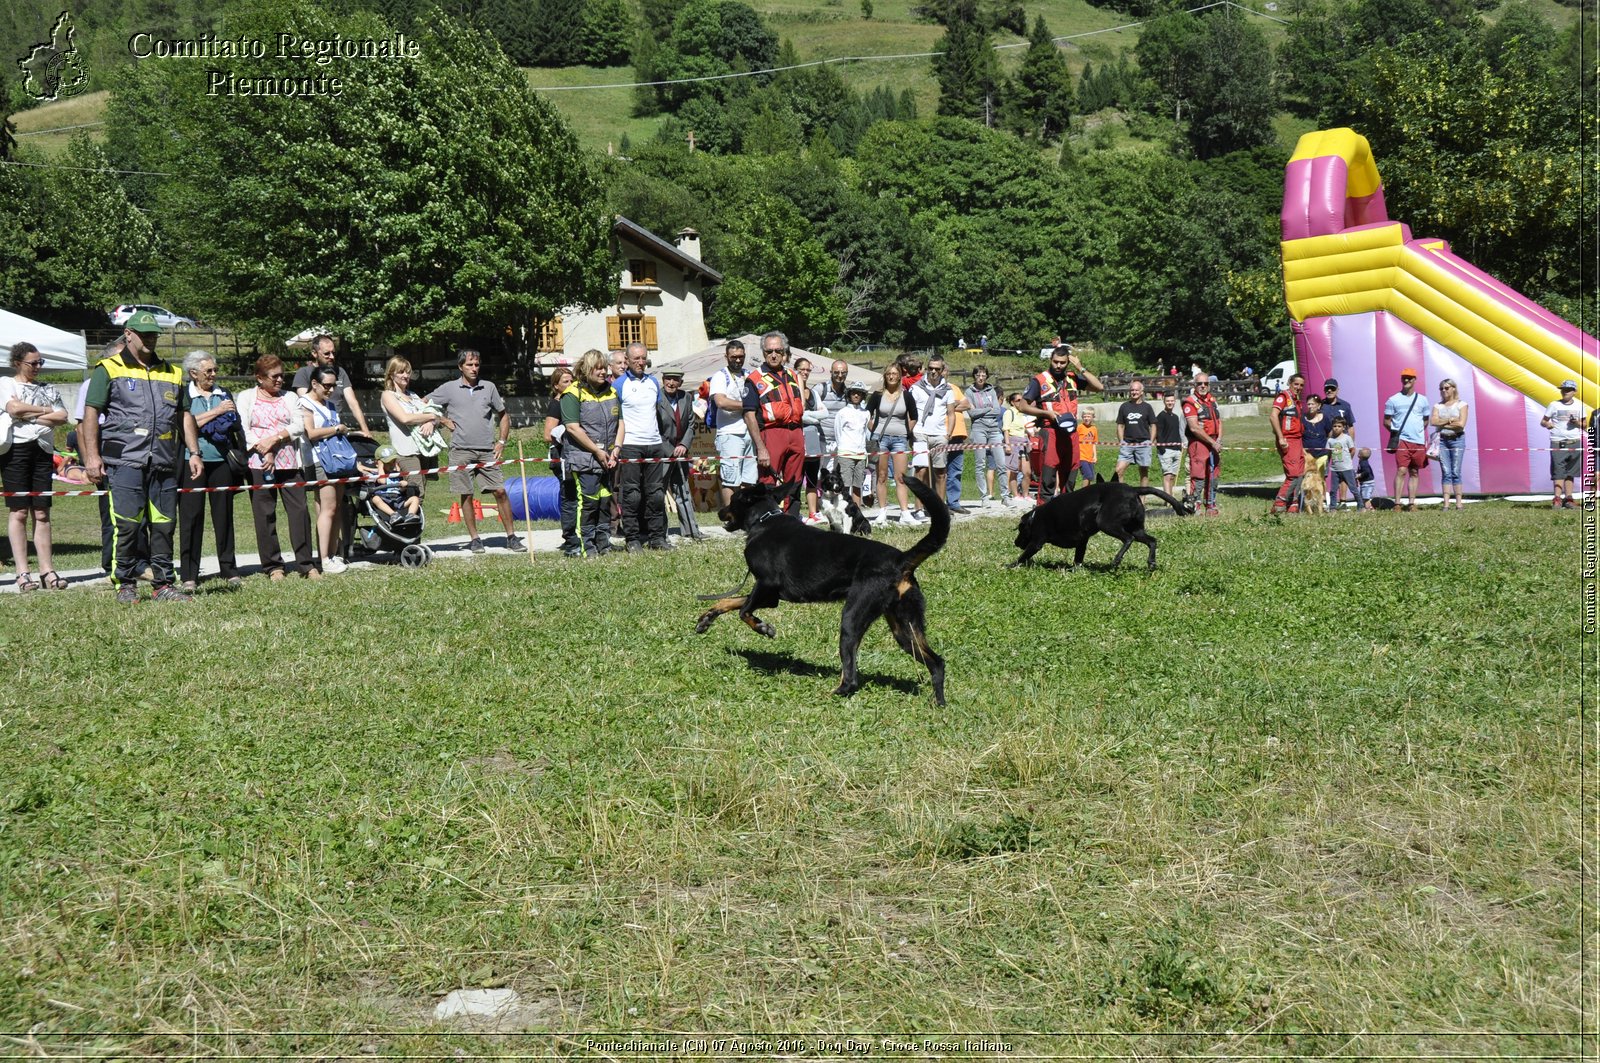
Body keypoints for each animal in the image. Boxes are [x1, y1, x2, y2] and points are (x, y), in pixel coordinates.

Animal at [694, 473, 940, 704]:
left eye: (733, 500)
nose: (720, 512)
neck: (764, 521)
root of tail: (901, 560)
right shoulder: (770, 595)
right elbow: (729, 601)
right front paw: (706, 618)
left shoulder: (766, 586)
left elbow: (744, 611)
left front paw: (764, 628)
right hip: (905, 627)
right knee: (937, 663)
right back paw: (939, 703)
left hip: (853, 618)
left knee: (851, 677)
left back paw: (831, 694)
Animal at [1011, 480, 1190, 573]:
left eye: (1020, 530)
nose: (1015, 542)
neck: (1034, 518)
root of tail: (1133, 490)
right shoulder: (1082, 542)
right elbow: (1078, 559)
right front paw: (1074, 571)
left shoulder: (1036, 542)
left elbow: (1023, 556)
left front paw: (1010, 566)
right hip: (1137, 528)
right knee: (1152, 541)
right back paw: (1151, 562)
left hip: (1106, 523)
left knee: (1128, 539)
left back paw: (1117, 559)